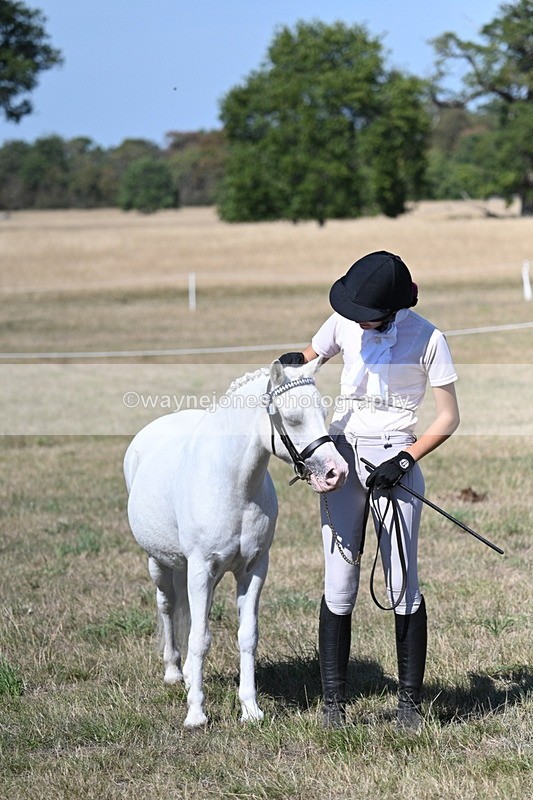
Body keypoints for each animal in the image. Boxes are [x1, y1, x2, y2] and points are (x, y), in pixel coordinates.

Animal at [123, 358, 348, 728]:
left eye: (323, 411)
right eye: (292, 418)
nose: (336, 472)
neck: (233, 486)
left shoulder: (252, 568)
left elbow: (246, 636)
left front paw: (251, 709)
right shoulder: (201, 568)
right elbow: (200, 638)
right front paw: (196, 714)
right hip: (159, 562)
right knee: (167, 605)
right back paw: (174, 672)